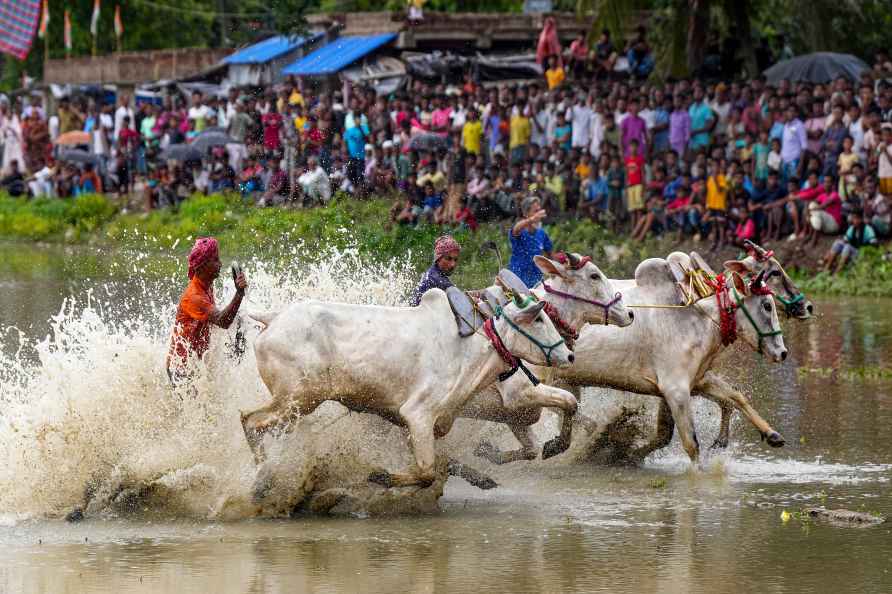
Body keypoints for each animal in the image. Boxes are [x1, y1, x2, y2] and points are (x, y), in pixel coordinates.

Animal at [244, 290, 576, 488]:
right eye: (539, 318)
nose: (569, 355)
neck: (471, 350)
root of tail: (273, 319)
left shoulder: (413, 424)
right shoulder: (419, 414)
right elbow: (427, 472)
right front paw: (381, 475)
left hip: (296, 403)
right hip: (298, 399)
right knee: (250, 420)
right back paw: (261, 480)